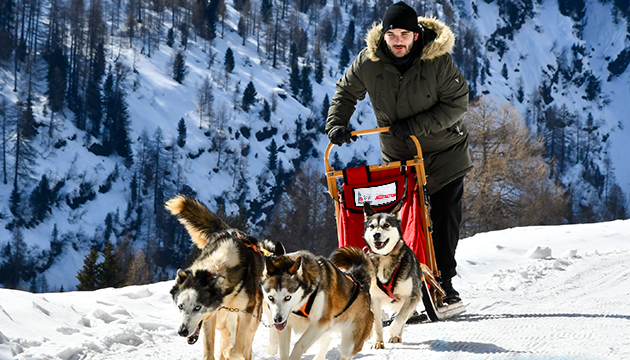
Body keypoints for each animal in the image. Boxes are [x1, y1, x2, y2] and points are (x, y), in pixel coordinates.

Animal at [168, 195, 276, 360]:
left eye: (197, 307)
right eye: (180, 306)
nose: (182, 331)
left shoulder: (246, 312)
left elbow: (236, 349)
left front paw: (229, 352)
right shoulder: (209, 317)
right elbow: (209, 351)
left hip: (252, 317)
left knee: (246, 345)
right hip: (221, 321)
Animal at [366, 202, 424, 348]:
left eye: (386, 225)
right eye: (372, 226)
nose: (376, 235)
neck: (385, 257)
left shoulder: (413, 296)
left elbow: (400, 318)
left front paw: (393, 331)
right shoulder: (375, 299)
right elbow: (377, 324)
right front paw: (378, 342)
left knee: (404, 315)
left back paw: (397, 335)